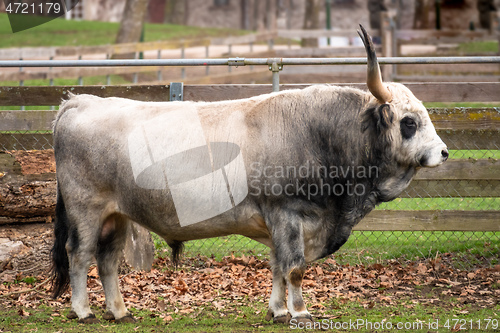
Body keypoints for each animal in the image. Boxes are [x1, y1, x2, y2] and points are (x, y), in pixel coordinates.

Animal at [51, 26, 450, 324]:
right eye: (409, 122)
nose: (444, 152)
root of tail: (80, 101)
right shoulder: (287, 213)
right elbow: (294, 268)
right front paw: (300, 312)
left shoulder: (278, 224)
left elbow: (276, 267)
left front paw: (278, 310)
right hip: (86, 210)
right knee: (79, 254)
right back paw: (83, 311)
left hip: (117, 215)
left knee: (107, 261)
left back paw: (119, 311)